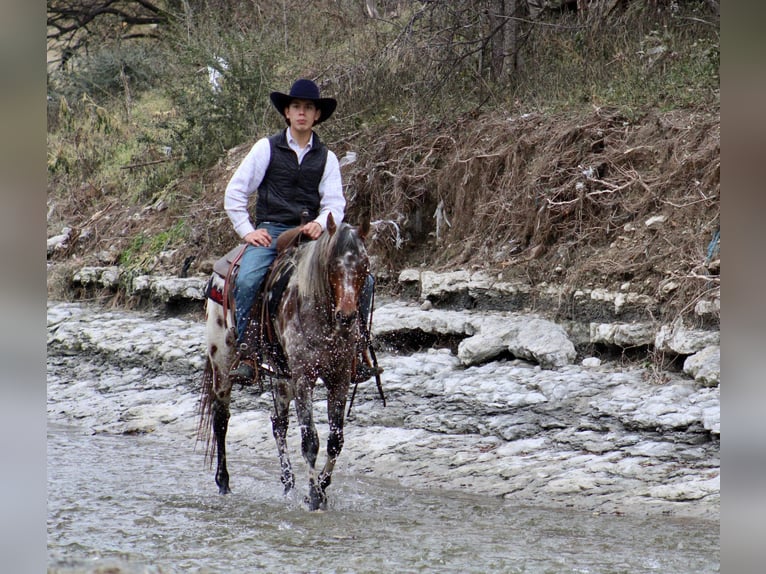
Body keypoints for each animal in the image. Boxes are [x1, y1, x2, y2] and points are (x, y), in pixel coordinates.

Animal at [200, 214, 374, 510]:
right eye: (332, 264)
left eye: (364, 265)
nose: (347, 315)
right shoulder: (305, 377)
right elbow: (310, 441)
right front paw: (314, 496)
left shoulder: (339, 378)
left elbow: (335, 440)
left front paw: (321, 490)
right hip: (222, 363)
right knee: (221, 418)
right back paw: (223, 482)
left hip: (283, 376)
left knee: (278, 424)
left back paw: (288, 483)